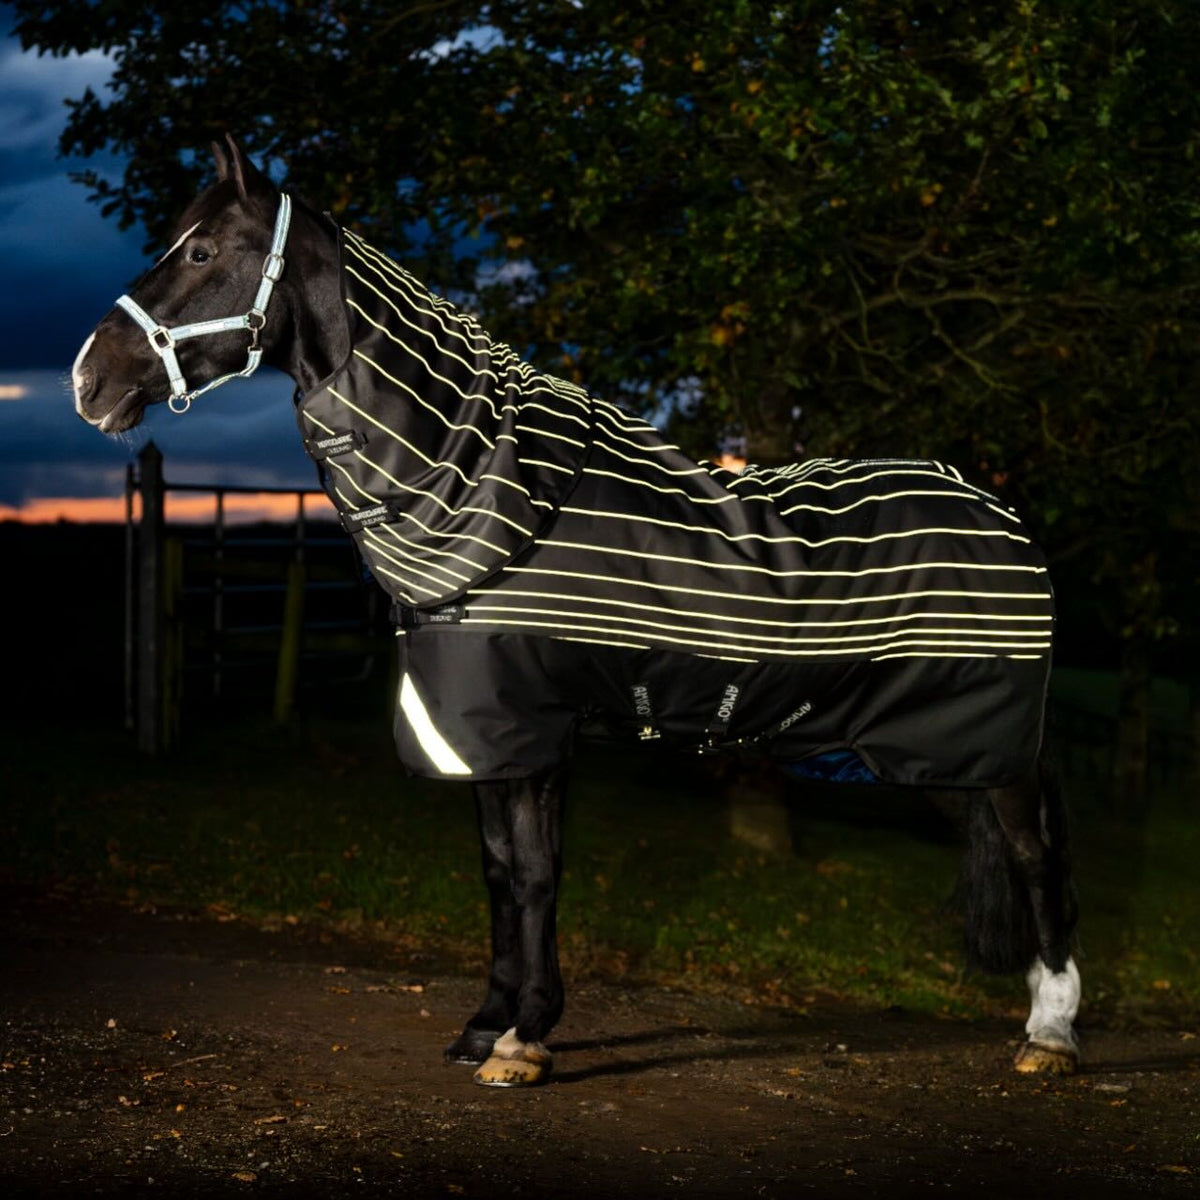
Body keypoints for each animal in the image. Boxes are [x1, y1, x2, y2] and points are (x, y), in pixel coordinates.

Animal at [73, 135, 1080, 1087]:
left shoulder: (533, 730)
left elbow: (535, 877)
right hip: (945, 757)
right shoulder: (478, 730)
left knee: (1037, 858)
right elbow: (497, 874)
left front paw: (525, 1037)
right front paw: (487, 1024)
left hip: (979, 749)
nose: (89, 380)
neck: (483, 489)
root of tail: (997, 511)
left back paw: (1053, 1034)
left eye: (201, 250)